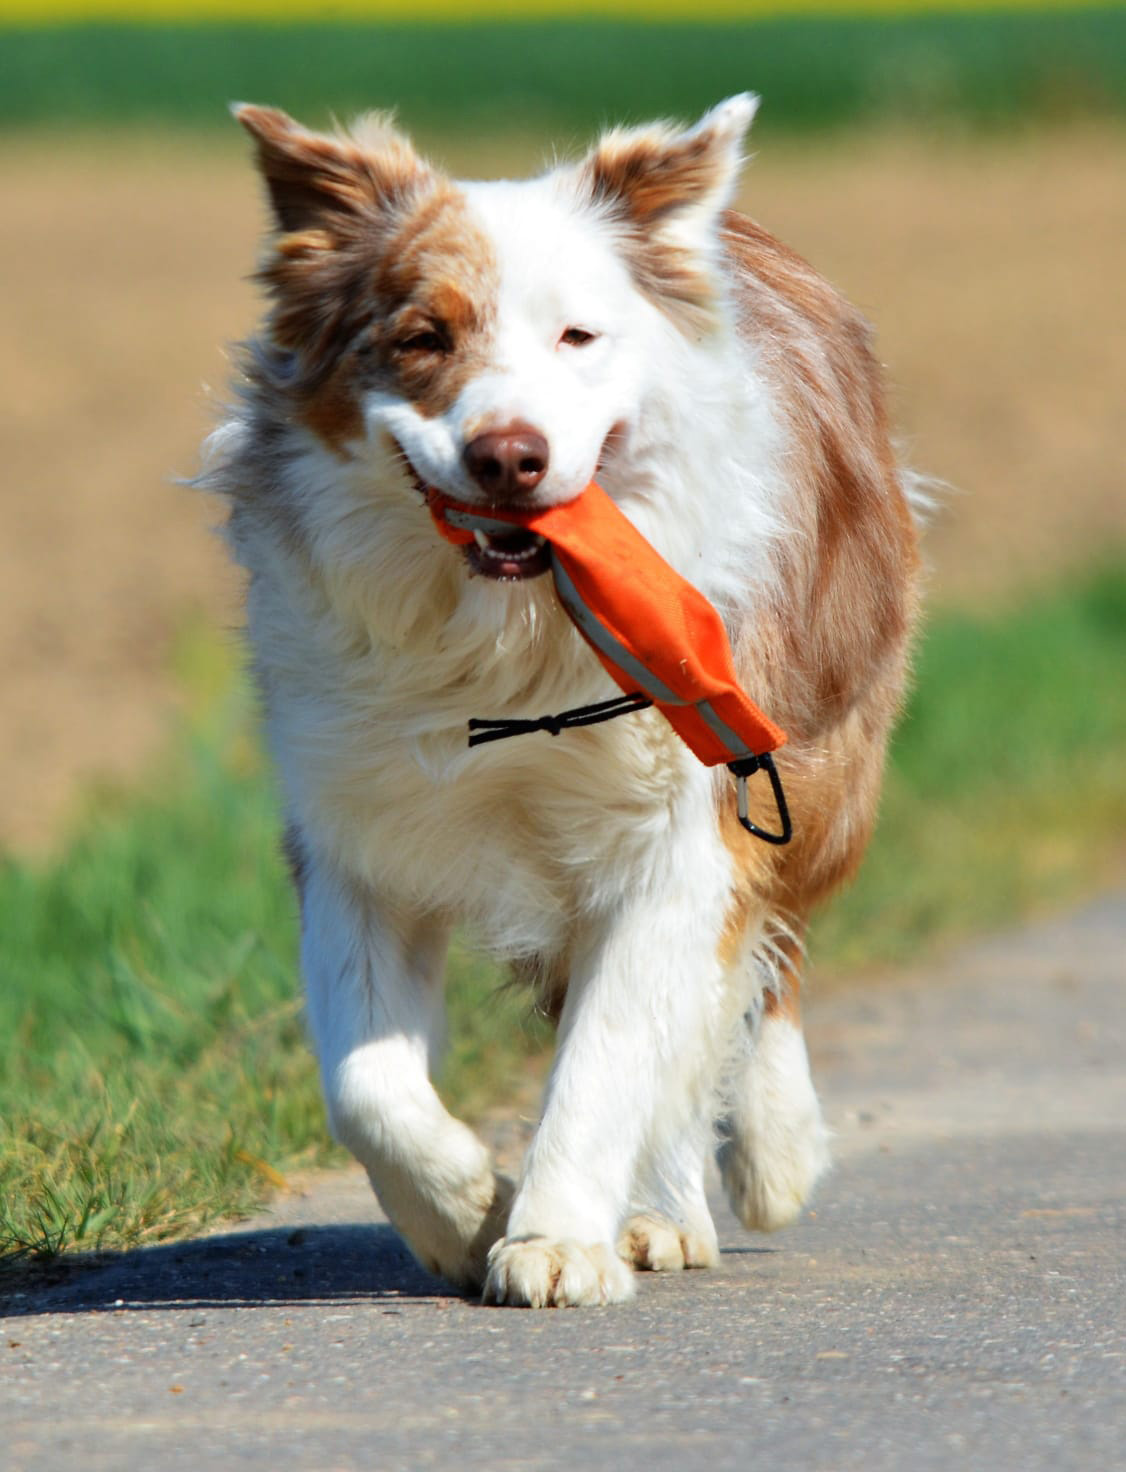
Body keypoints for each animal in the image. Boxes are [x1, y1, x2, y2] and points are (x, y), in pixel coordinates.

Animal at [201, 97, 918, 1307]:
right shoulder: (359, 823)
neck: (508, 640)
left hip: (821, 766)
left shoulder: (687, 827)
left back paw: (749, 1161)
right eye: (422, 337)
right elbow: (366, 1085)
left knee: (766, 965)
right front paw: (465, 1210)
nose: (508, 456)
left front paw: (555, 1238)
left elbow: (614, 1050)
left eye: (579, 338)